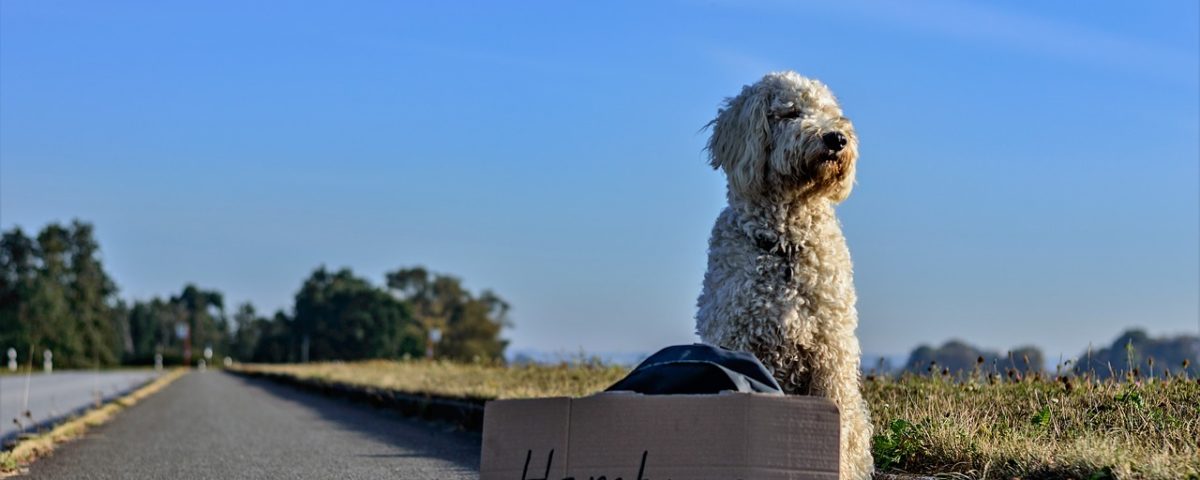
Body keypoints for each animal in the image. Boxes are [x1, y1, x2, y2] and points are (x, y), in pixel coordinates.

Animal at [696, 71, 873, 480]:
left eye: (829, 111)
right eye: (790, 112)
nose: (837, 138)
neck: (785, 245)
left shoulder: (832, 352)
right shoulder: (736, 340)